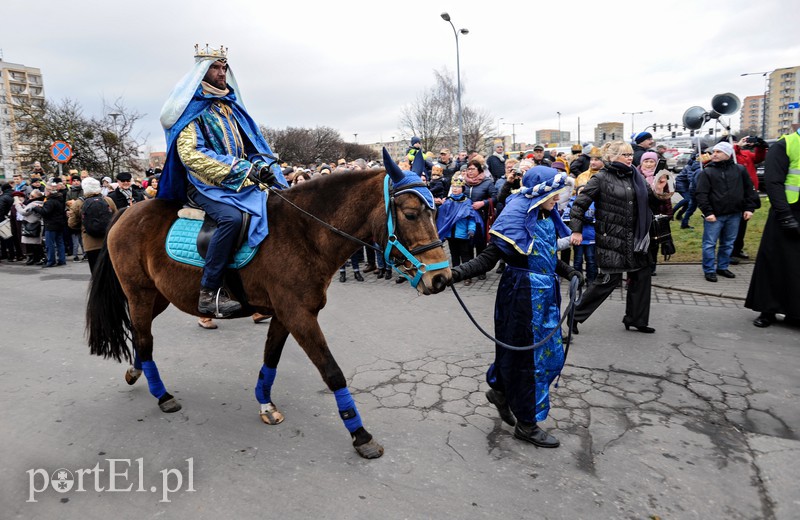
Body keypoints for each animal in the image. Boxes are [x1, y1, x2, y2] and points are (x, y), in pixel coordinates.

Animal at [89, 160, 450, 458]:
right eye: (411, 214)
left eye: (435, 212)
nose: (442, 278)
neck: (305, 232)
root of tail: (126, 212)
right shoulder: (298, 315)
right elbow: (332, 372)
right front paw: (360, 434)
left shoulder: (285, 314)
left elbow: (271, 359)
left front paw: (265, 402)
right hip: (140, 294)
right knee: (144, 338)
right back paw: (162, 395)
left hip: (158, 297)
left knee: (141, 335)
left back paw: (136, 371)